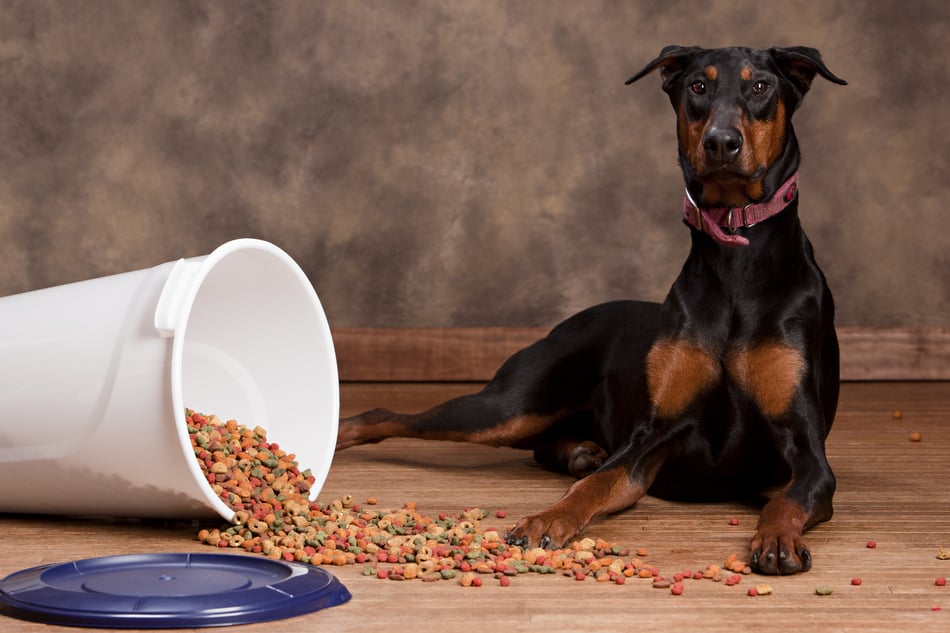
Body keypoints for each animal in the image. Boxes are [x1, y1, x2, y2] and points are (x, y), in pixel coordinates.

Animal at [340, 47, 848, 576]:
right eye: (698, 87)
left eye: (760, 86)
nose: (721, 142)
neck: (736, 261)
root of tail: (573, 320)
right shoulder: (653, 434)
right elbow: (600, 482)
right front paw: (547, 517)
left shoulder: (807, 451)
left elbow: (787, 498)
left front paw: (776, 539)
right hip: (510, 406)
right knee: (393, 413)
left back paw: (578, 451)